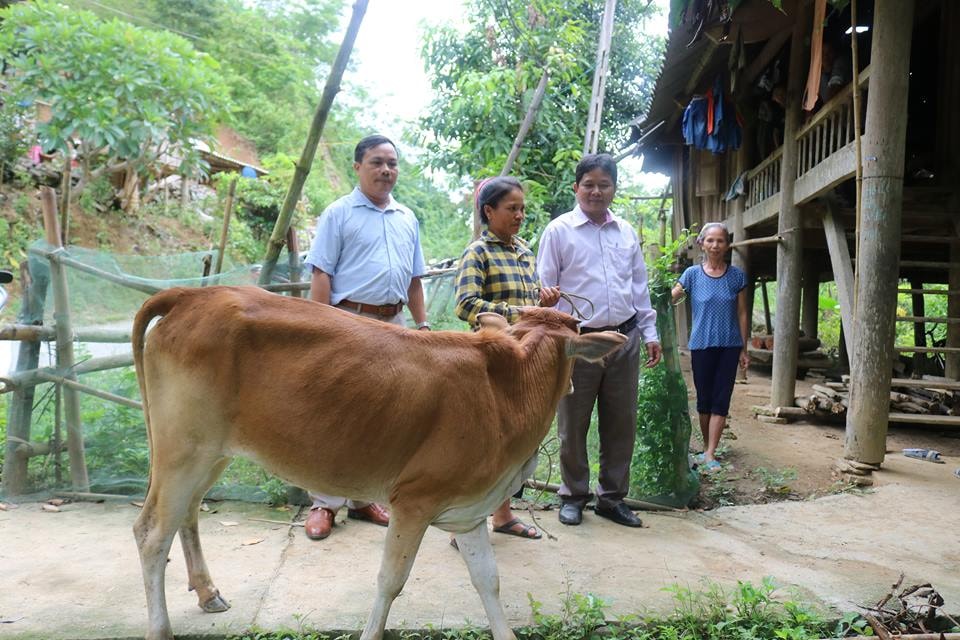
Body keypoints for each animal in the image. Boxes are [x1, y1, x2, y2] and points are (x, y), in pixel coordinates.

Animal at [131, 286, 628, 640]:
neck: (508, 391)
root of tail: (193, 295)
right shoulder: (414, 501)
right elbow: (391, 581)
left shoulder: (469, 510)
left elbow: (488, 581)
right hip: (183, 448)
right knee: (151, 533)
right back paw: (161, 628)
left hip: (211, 453)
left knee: (188, 515)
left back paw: (208, 592)